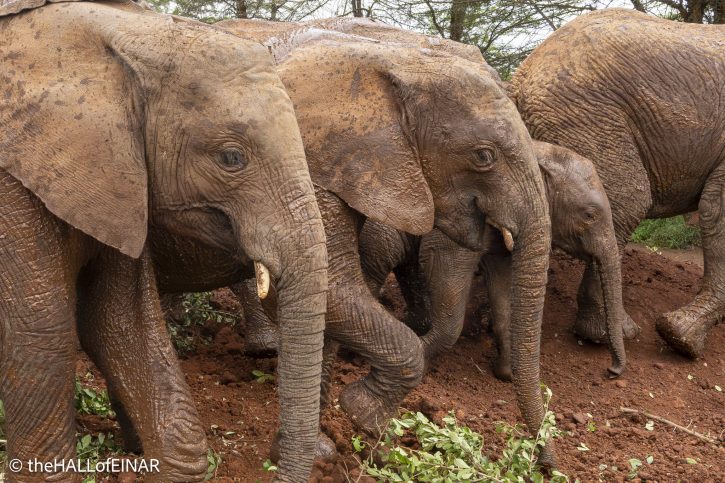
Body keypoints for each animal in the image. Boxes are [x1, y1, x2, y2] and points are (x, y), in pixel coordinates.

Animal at [0, 1, 327, 481]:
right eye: (232, 158)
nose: (275, 464)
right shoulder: (11, 183)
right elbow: (40, 327)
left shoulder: (120, 183)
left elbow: (118, 321)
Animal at [217, 20, 556, 466]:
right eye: (484, 156)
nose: (547, 465)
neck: (393, 58)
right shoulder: (300, 165)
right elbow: (327, 288)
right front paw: (363, 416)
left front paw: (320, 451)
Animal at [358, 141, 627, 381]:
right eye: (589, 215)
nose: (611, 372)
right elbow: (443, 271)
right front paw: (420, 358)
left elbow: (504, 286)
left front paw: (507, 375)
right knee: (378, 259)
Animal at [508, 9, 725, 357]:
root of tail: (519, 76)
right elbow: (717, 209)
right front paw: (681, 339)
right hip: (588, 117)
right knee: (628, 202)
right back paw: (612, 334)